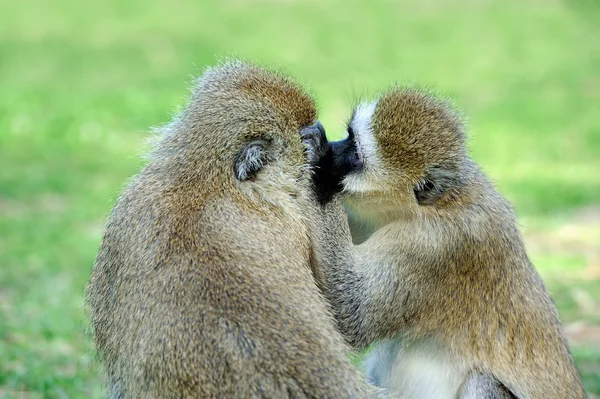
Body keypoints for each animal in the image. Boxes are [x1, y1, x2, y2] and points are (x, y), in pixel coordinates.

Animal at [310, 88, 584, 399]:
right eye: (348, 136)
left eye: (355, 155)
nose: (333, 149)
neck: (442, 202)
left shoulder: (433, 246)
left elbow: (351, 314)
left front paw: (317, 164)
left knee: (481, 381)